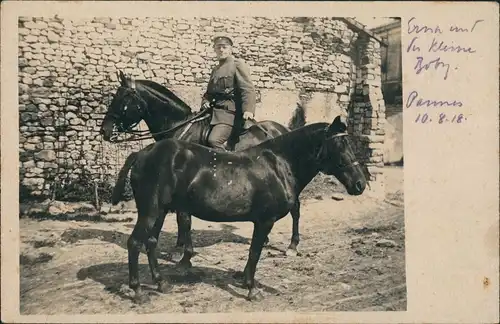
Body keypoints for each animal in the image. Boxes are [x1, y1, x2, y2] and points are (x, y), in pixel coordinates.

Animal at [99, 71, 304, 258]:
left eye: (122, 98)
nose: (104, 131)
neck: (179, 127)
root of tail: (281, 129)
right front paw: (175, 245)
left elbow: (182, 217)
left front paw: (179, 249)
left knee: (295, 208)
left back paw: (293, 246)